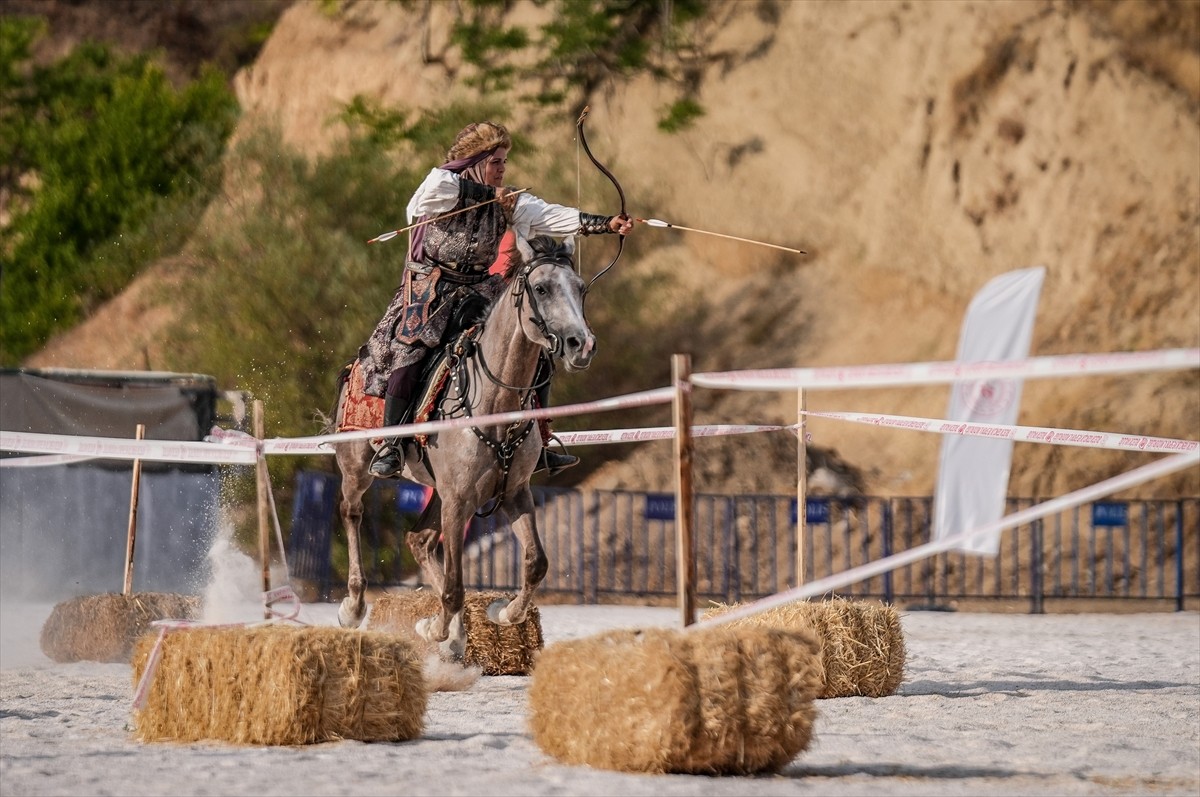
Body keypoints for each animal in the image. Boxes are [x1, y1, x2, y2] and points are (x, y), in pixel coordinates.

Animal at [328, 236, 595, 657]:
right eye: (541, 289)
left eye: (580, 288)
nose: (580, 344)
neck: (494, 404)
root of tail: (353, 367)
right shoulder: (458, 500)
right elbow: (454, 588)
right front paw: (432, 628)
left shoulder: (513, 493)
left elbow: (536, 563)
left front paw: (502, 612)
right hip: (357, 468)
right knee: (352, 512)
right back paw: (354, 607)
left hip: (441, 491)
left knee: (420, 541)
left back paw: (456, 635)